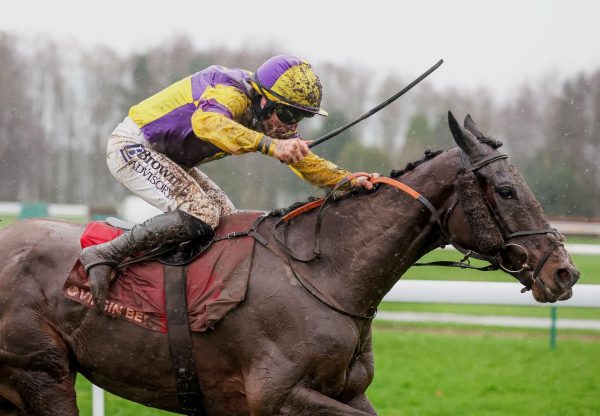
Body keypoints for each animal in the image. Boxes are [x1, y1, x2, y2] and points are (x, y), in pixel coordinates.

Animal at [1, 112, 580, 414]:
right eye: (505, 190)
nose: (565, 272)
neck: (324, 275)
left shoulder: (348, 392)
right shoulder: (277, 397)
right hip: (42, 373)